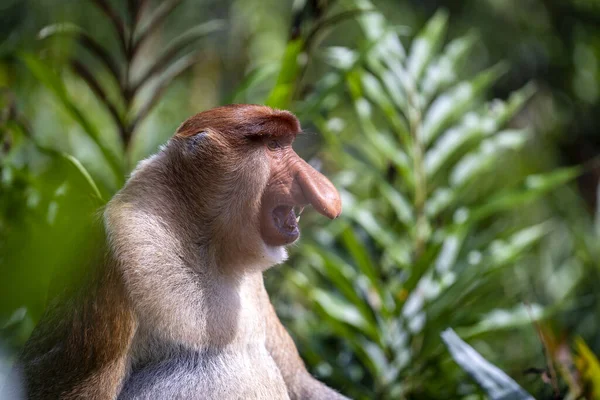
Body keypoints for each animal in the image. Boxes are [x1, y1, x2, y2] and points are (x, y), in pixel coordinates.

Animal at [8, 104, 346, 398]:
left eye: (288, 144)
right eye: (273, 145)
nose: (326, 191)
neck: (206, 248)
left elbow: (300, 382)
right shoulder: (113, 249)